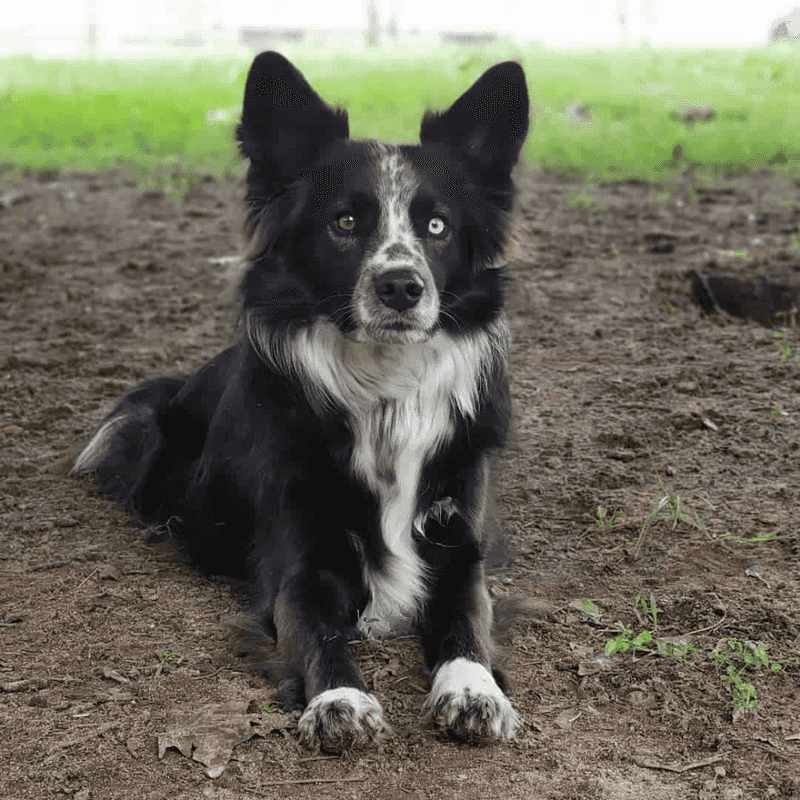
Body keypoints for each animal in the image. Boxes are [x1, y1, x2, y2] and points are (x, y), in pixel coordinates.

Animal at [72, 50, 528, 752]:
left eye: (436, 226)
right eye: (346, 222)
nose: (402, 286)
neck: (385, 395)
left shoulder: (460, 547)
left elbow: (467, 624)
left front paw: (474, 690)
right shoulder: (301, 561)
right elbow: (315, 631)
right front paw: (340, 699)